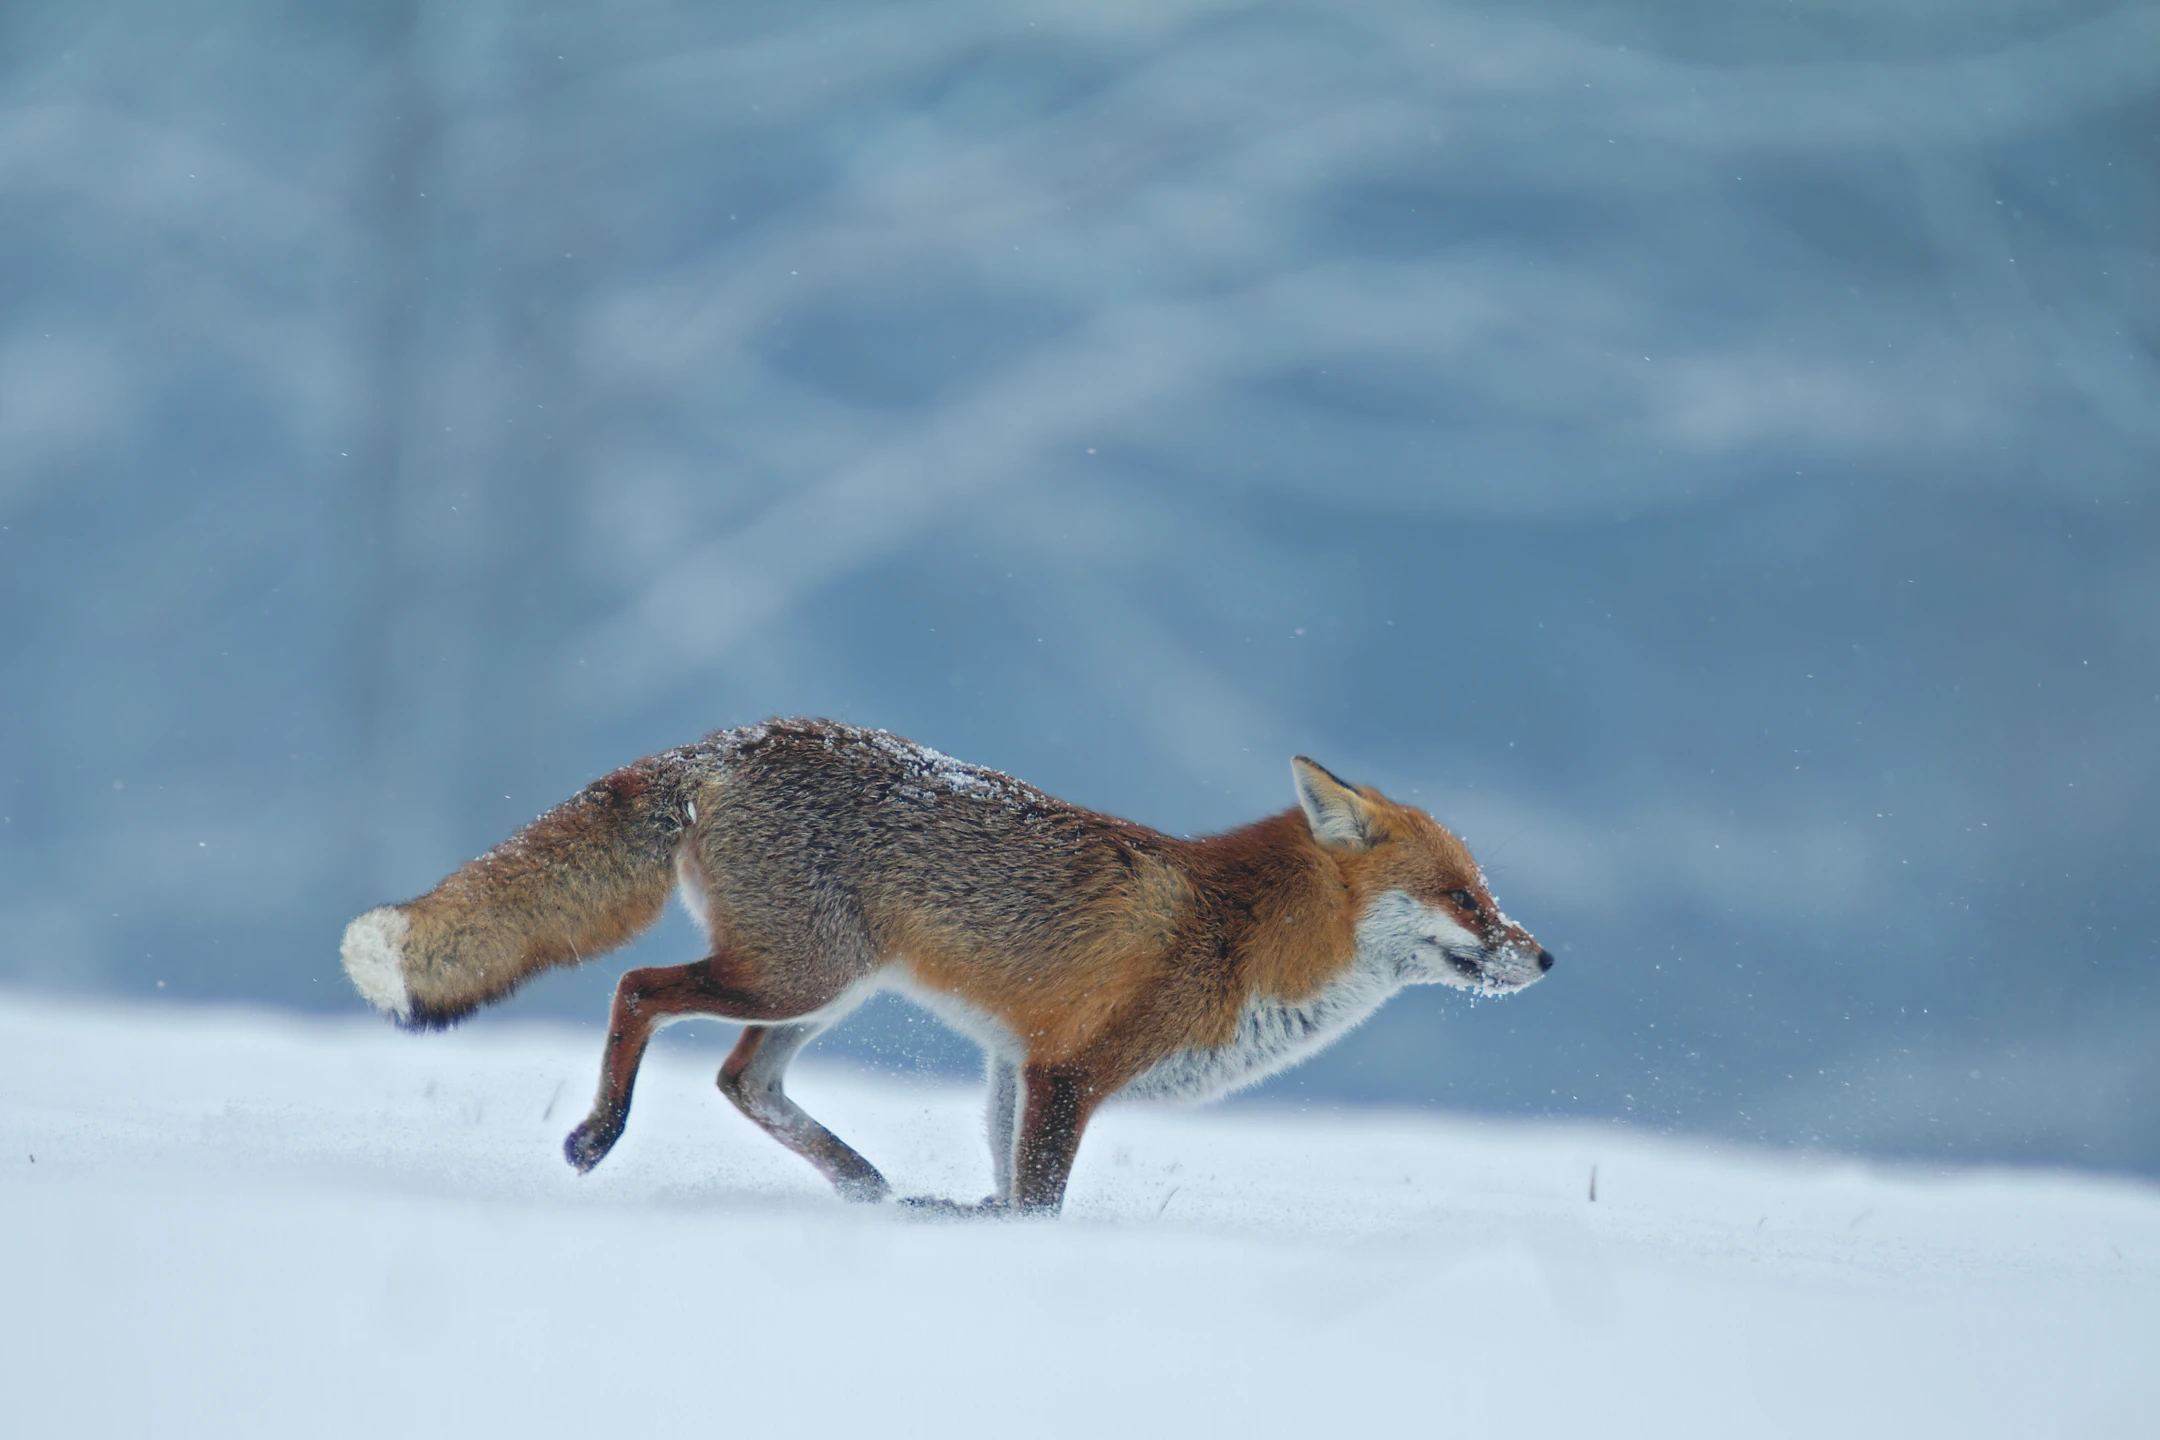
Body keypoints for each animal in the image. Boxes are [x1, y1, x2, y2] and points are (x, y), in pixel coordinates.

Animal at [340, 718, 1552, 1215]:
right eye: (1466, 900)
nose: (1545, 955)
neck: (1241, 932)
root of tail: (741, 738)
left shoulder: (1021, 1062)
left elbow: (1013, 1194)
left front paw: (970, 1228)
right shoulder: (1071, 1072)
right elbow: (1038, 1207)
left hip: (823, 988)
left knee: (744, 1081)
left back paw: (875, 1189)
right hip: (797, 975)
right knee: (639, 992)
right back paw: (599, 1136)